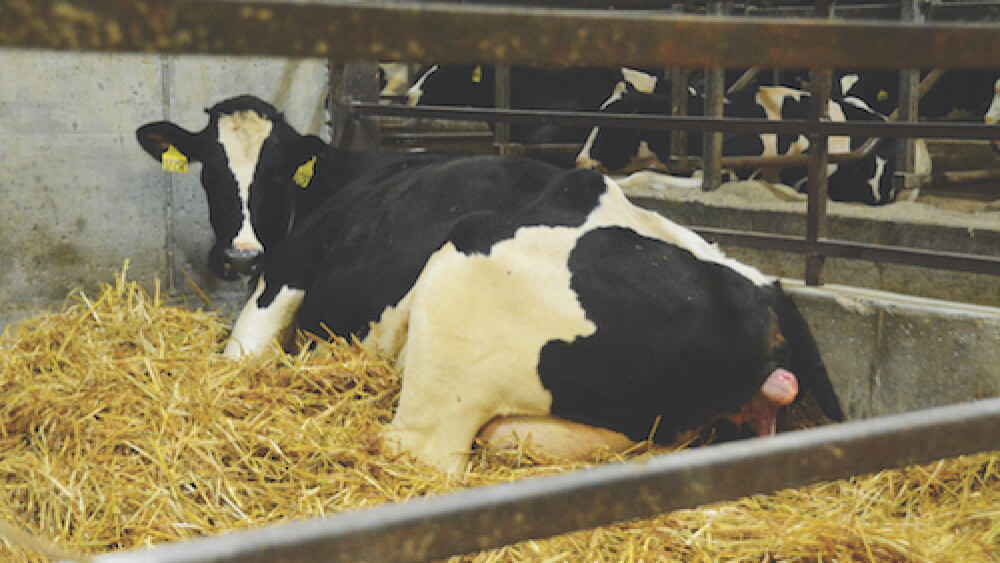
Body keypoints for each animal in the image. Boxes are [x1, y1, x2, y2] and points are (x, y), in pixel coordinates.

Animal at [137, 95, 844, 474]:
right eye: (210, 170)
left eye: (280, 172)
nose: (239, 254)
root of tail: (768, 296)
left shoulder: (286, 275)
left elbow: (241, 351)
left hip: (461, 302)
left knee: (414, 447)